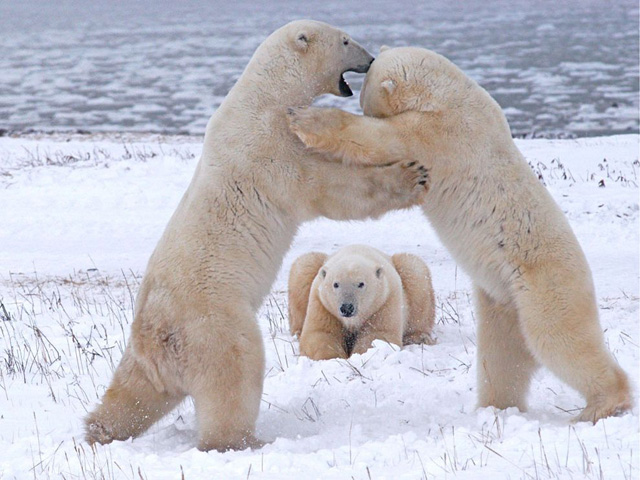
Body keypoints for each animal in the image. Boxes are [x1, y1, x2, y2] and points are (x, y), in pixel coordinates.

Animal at [288, 246, 436, 358]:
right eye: (335, 284)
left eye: (361, 284)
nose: (347, 307)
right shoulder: (322, 303)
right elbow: (321, 333)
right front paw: (334, 358)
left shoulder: (384, 300)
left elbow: (377, 334)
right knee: (304, 267)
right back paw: (298, 332)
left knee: (415, 272)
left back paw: (419, 337)